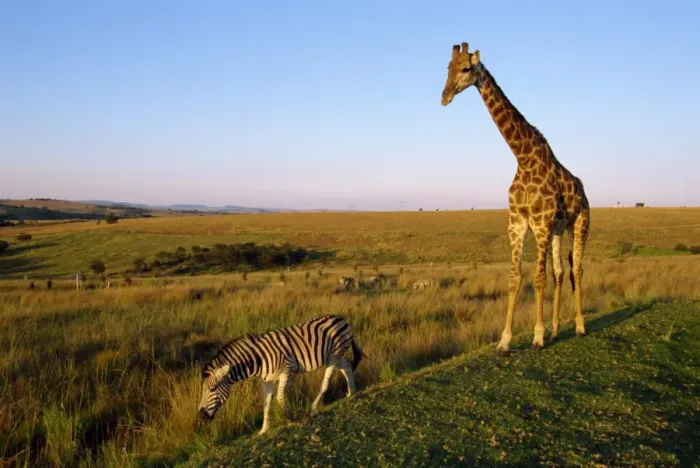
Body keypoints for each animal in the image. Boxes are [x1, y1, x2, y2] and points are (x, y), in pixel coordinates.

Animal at [198, 314, 363, 434]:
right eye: (204, 390)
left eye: (212, 389)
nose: (201, 416)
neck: (259, 359)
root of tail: (341, 318)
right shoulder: (266, 380)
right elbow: (266, 403)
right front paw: (263, 430)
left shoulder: (287, 371)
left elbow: (280, 398)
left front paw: (293, 418)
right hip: (334, 356)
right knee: (347, 367)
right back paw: (352, 392)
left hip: (334, 356)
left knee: (326, 381)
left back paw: (315, 406)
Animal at [441, 42, 590, 353]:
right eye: (447, 68)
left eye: (466, 68)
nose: (444, 96)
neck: (524, 158)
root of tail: (584, 190)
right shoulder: (518, 223)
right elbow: (515, 278)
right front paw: (505, 340)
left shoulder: (540, 223)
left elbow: (538, 278)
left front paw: (537, 336)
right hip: (558, 230)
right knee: (560, 272)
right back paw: (557, 330)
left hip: (580, 223)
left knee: (577, 270)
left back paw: (580, 326)